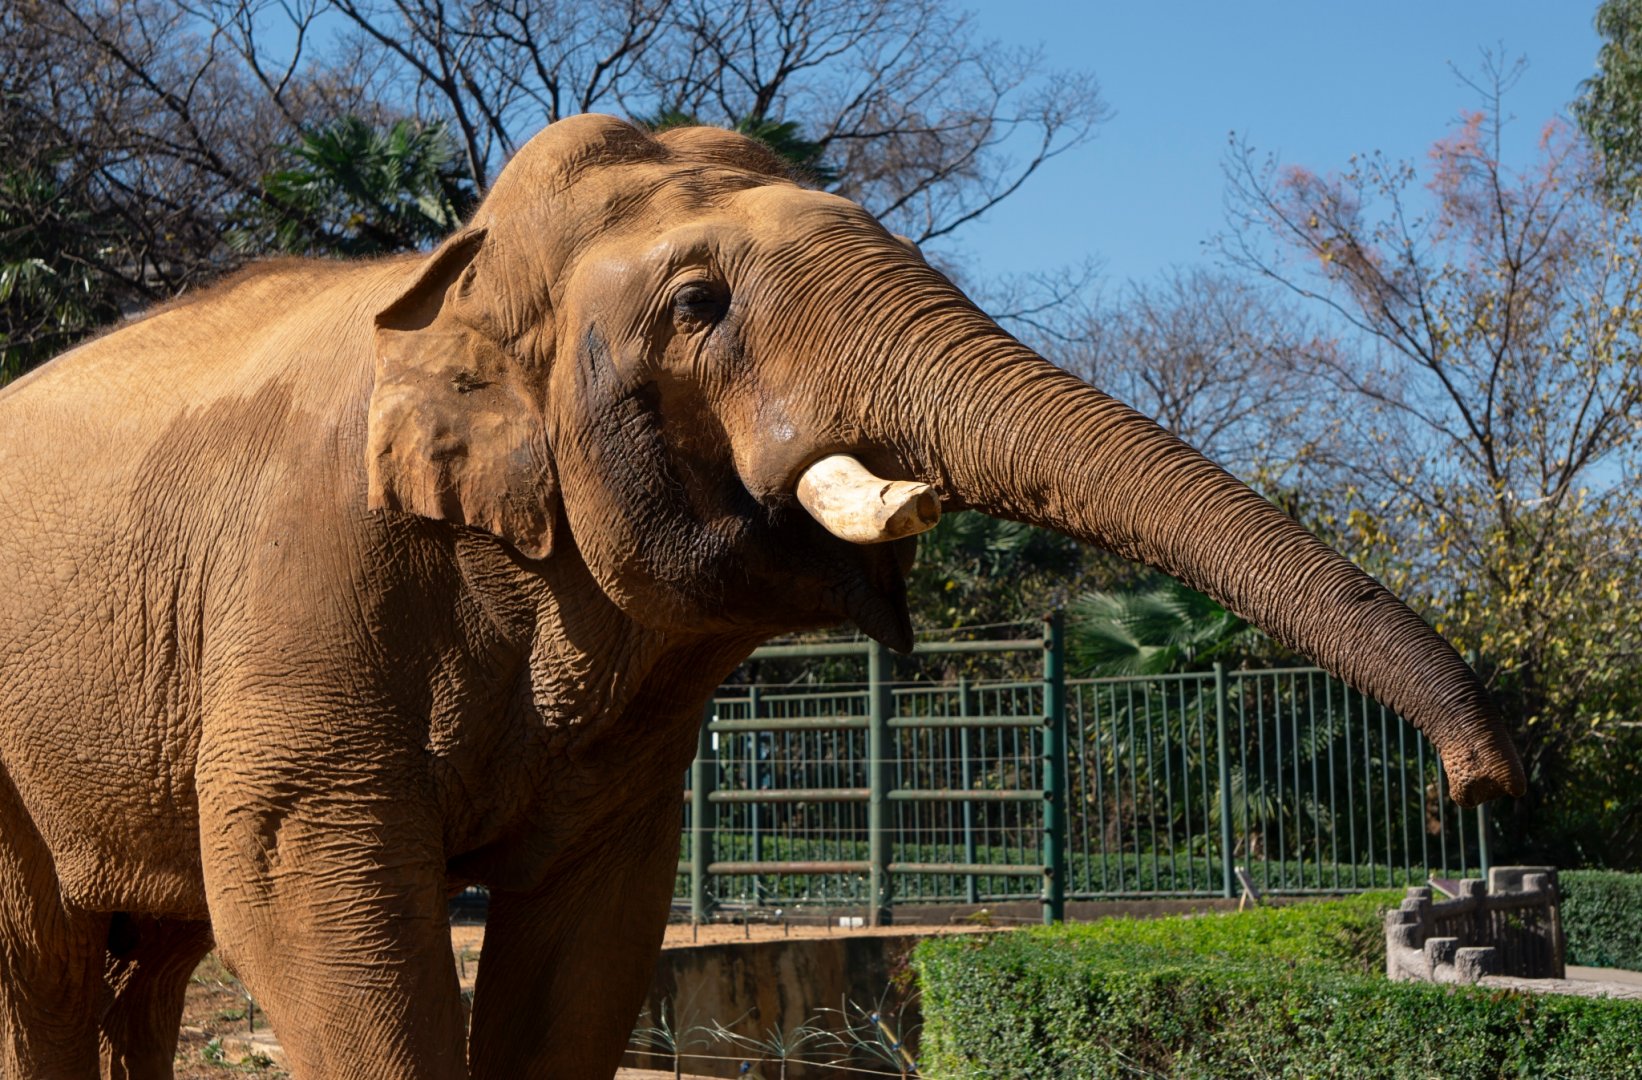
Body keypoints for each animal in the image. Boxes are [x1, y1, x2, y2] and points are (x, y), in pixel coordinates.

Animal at [0, 114, 1523, 1079]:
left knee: (145, 967)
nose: (1477, 788)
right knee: (50, 969)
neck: (460, 269)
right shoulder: (310, 584)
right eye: (699, 307)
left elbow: (590, 931)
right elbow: (309, 890)